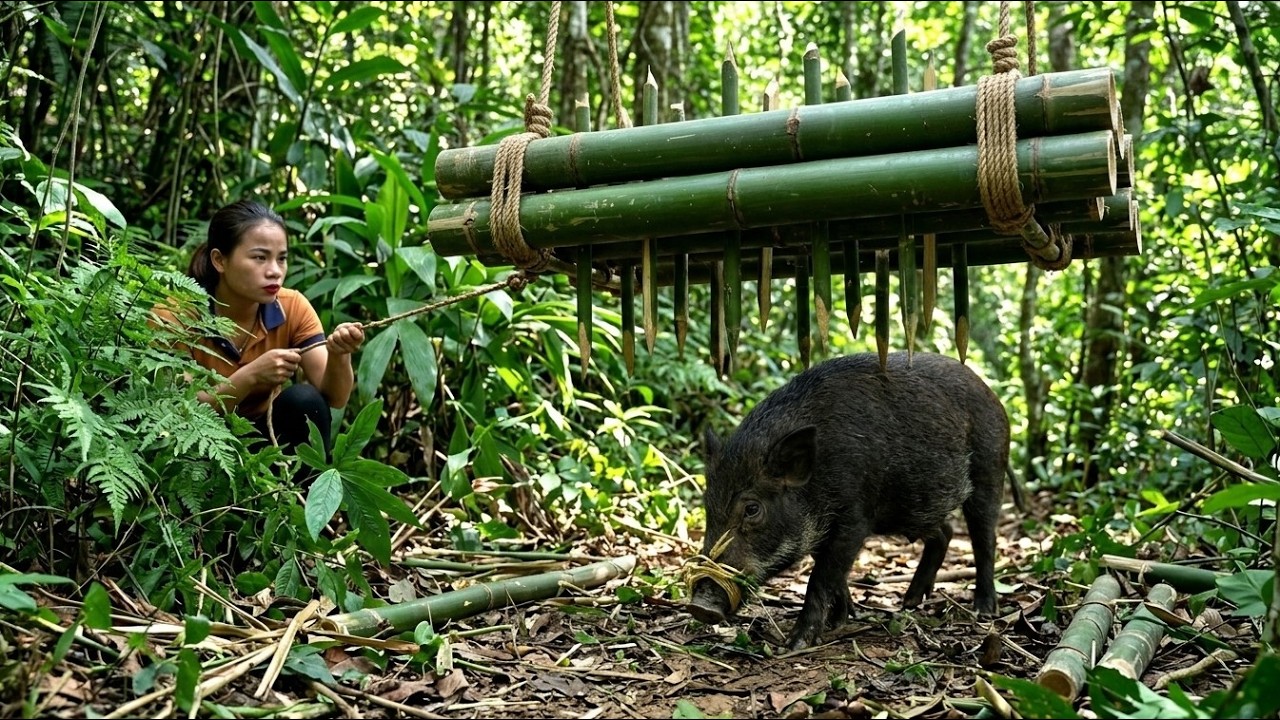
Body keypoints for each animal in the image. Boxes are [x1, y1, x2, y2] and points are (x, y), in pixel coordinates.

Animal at [687, 351, 1012, 650]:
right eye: (708, 505)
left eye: (752, 509)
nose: (700, 607)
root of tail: (992, 394)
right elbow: (829, 568)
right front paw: (840, 619)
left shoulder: (855, 517)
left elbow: (822, 574)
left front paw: (796, 644)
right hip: (916, 505)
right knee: (945, 532)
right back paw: (909, 602)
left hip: (989, 469)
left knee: (984, 539)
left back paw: (983, 611)